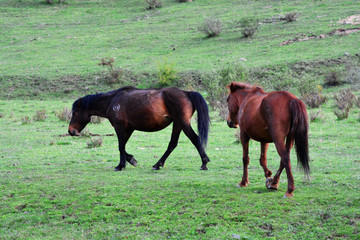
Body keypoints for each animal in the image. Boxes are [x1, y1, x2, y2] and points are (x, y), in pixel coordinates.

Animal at [68, 86, 211, 171]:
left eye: (75, 112)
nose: (71, 131)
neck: (112, 101)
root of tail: (186, 93)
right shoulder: (129, 128)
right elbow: (123, 146)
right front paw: (131, 160)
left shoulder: (120, 127)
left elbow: (120, 146)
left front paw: (121, 165)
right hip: (177, 124)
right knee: (172, 144)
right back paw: (157, 164)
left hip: (182, 123)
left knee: (195, 139)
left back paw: (204, 163)